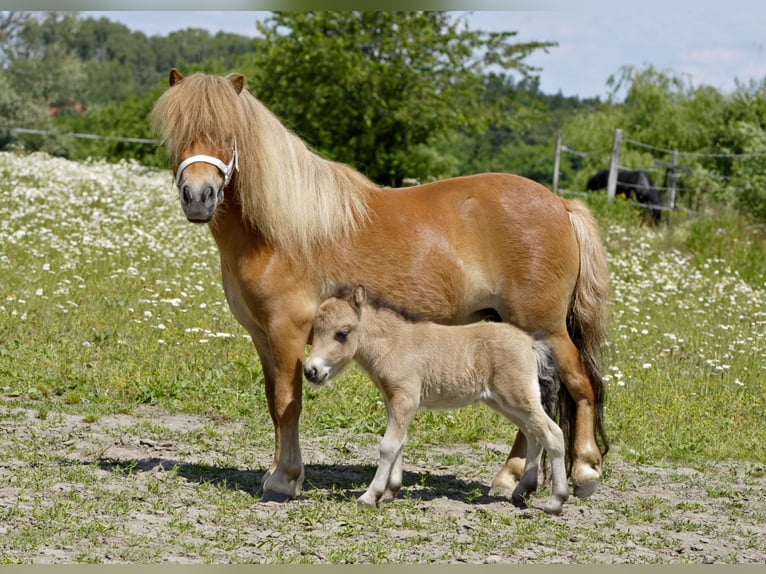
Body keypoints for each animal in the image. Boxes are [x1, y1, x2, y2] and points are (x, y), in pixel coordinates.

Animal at [304, 286, 568, 516]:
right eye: (315, 330)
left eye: (342, 333)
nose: (310, 371)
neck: (394, 344)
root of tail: (531, 342)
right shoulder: (393, 401)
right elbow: (399, 443)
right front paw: (390, 492)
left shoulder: (405, 399)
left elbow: (388, 446)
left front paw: (370, 496)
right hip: (506, 403)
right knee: (534, 434)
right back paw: (521, 492)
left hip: (518, 398)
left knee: (552, 433)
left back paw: (556, 501)